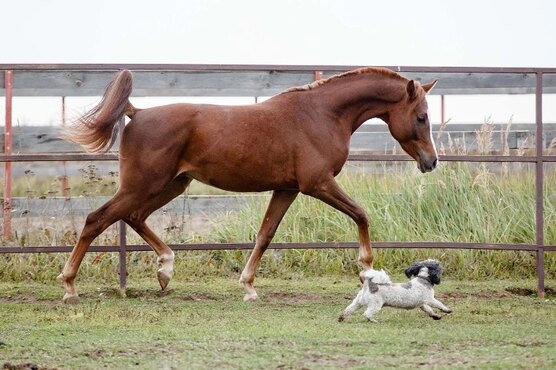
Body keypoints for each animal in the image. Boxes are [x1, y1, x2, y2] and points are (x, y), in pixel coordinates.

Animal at [57, 67, 438, 304]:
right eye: (421, 117)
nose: (431, 162)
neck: (321, 115)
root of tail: (137, 113)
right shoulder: (318, 184)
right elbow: (361, 214)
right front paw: (367, 271)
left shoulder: (288, 189)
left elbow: (265, 235)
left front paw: (249, 288)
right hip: (143, 185)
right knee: (97, 219)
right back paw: (70, 286)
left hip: (171, 185)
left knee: (133, 217)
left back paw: (165, 270)